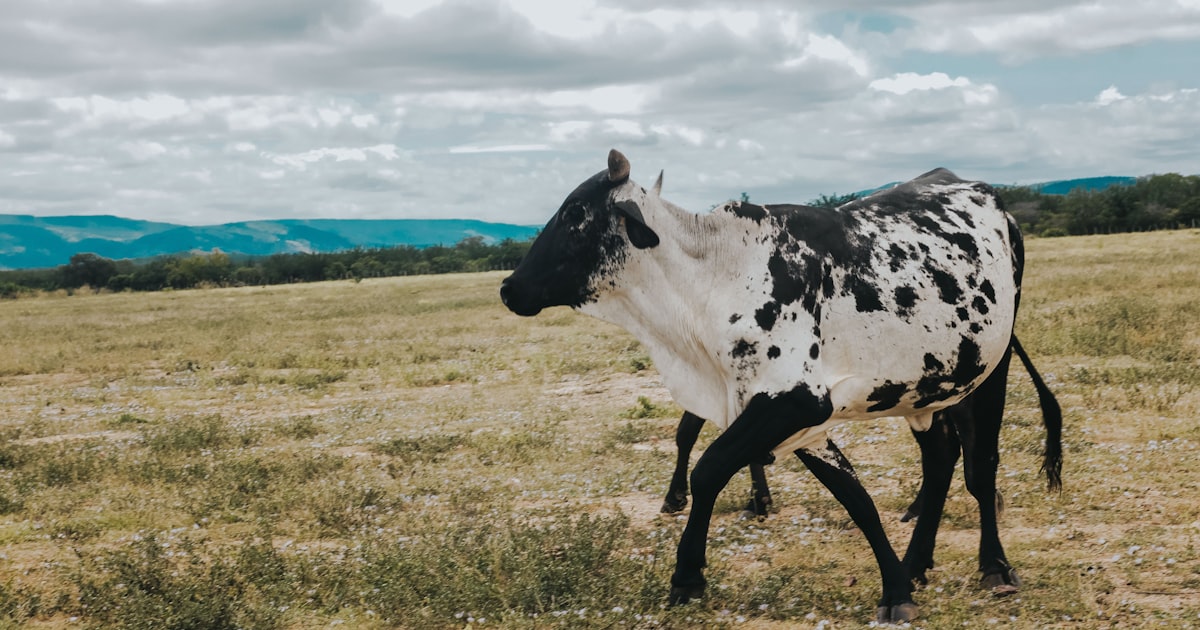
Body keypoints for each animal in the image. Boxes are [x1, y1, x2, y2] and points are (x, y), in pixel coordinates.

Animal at [500, 149, 1057, 622]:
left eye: (576, 213)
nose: (509, 288)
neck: (713, 281)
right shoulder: (786, 414)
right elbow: (853, 495)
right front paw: (896, 587)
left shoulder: (792, 404)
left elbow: (708, 468)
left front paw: (686, 577)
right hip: (925, 389)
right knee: (940, 462)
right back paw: (917, 563)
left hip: (991, 369)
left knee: (981, 467)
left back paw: (995, 567)